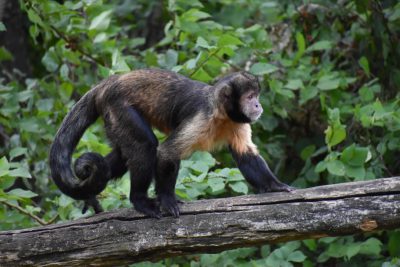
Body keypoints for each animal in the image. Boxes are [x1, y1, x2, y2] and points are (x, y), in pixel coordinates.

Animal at [50, 68, 294, 218]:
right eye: (250, 97)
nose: (258, 106)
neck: (222, 114)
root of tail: (109, 83)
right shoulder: (202, 118)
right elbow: (167, 152)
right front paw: (167, 200)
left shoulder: (238, 122)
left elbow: (246, 155)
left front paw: (275, 186)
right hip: (117, 107)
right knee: (144, 146)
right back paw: (140, 201)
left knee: (122, 155)